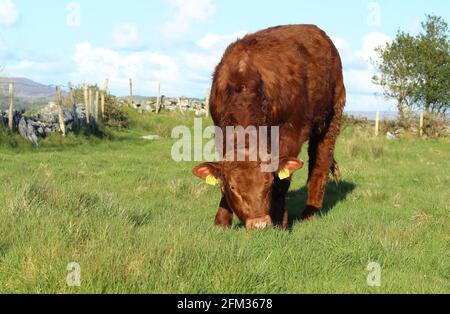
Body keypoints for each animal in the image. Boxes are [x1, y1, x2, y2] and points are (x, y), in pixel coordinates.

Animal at [192, 24, 344, 229]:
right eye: (233, 186)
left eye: (268, 184)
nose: (259, 223)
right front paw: (221, 222)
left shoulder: (291, 134)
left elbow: (283, 180)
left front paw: (281, 222)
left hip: (331, 119)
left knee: (320, 164)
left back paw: (309, 213)